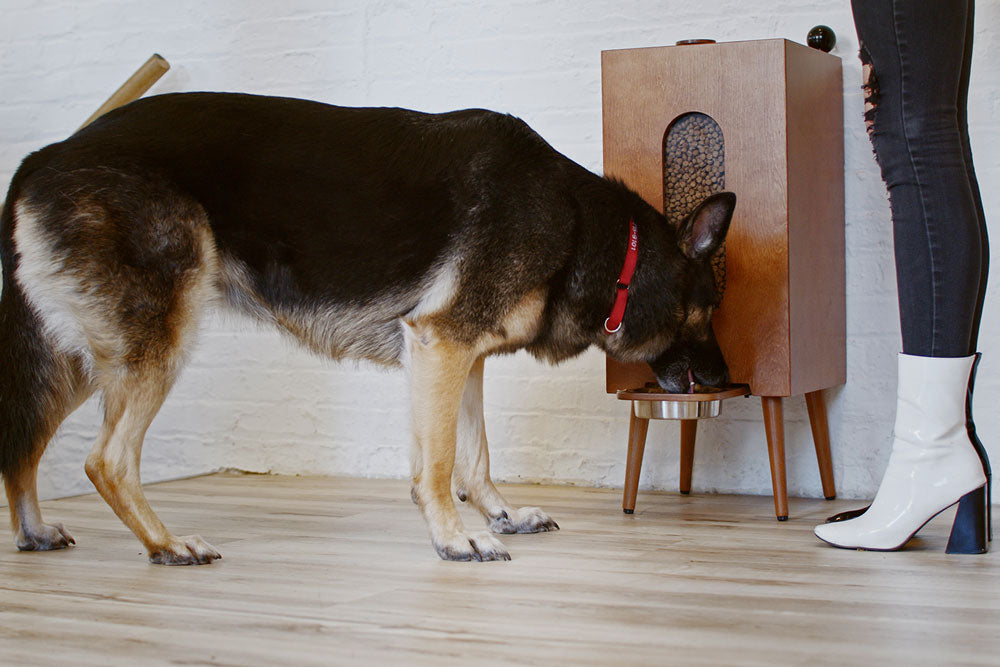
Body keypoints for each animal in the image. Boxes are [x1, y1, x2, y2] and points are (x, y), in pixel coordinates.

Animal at [1, 94, 736, 564]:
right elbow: (437, 463)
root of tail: (46, 154)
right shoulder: (442, 344)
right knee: (105, 459)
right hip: (156, 343)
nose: (730, 379)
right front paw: (455, 537)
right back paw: (165, 543)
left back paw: (34, 532)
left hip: (89, 358)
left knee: (23, 443)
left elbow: (474, 455)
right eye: (712, 311)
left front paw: (500, 513)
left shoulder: (461, 357)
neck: (601, 239)